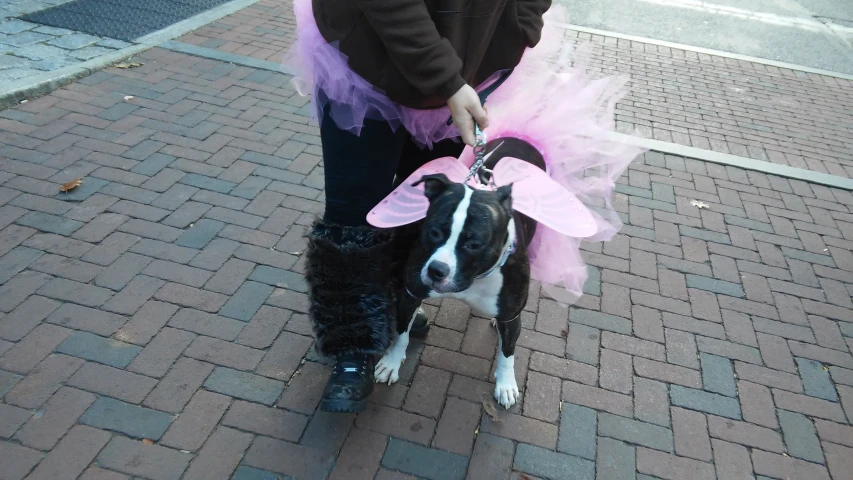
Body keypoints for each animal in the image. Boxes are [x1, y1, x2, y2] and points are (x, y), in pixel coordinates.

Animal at [372, 136, 544, 408]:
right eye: (434, 231)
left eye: (474, 244)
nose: (437, 270)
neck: (473, 280)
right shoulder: (410, 293)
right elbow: (401, 334)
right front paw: (390, 363)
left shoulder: (511, 313)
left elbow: (507, 353)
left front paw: (506, 384)